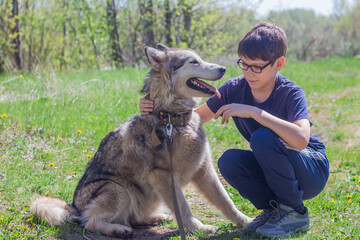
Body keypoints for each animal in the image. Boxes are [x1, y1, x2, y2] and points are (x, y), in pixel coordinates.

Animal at [30, 44, 250, 237]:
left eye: (201, 58)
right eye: (194, 62)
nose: (223, 69)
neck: (172, 119)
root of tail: (74, 206)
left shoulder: (205, 170)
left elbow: (227, 202)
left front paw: (246, 222)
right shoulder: (164, 175)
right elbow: (184, 208)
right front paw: (198, 228)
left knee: (135, 218)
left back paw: (158, 218)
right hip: (118, 189)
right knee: (91, 223)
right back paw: (119, 230)